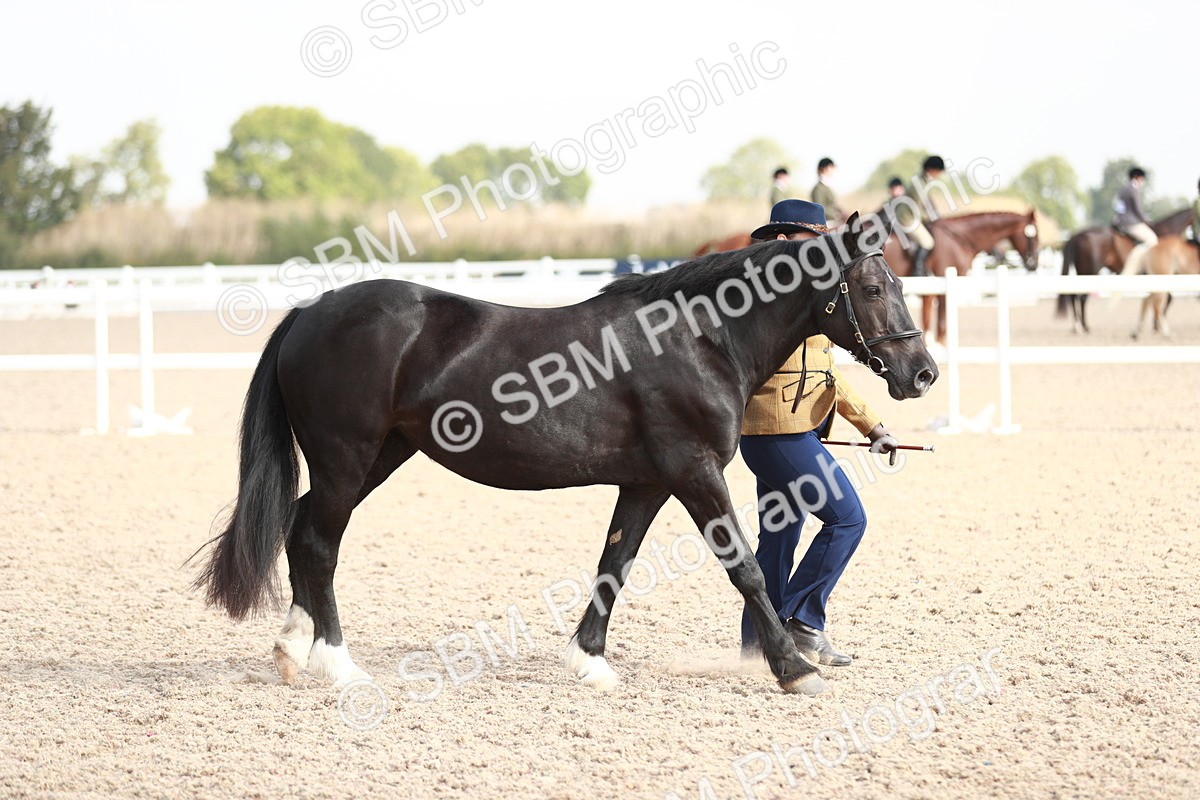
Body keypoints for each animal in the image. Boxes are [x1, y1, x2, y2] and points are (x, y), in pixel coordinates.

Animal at [193, 212, 937, 698]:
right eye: (874, 289)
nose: (922, 372)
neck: (700, 338)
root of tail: (312, 310)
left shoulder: (648, 483)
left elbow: (616, 564)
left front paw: (590, 662)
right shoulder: (695, 473)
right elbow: (747, 569)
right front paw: (794, 668)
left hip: (381, 456)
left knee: (299, 528)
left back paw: (292, 649)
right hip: (346, 459)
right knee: (319, 543)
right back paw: (337, 664)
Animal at [882, 210, 1040, 344]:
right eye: (1032, 236)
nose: (1034, 264)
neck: (959, 239)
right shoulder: (942, 287)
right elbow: (942, 323)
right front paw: (939, 346)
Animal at [1055, 208, 1192, 333]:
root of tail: (1078, 234)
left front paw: (1157, 325)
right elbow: (1167, 298)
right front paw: (1157, 325)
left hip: (1082, 273)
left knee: (1073, 296)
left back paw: (1076, 327)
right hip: (1090, 273)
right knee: (1081, 298)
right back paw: (1084, 327)